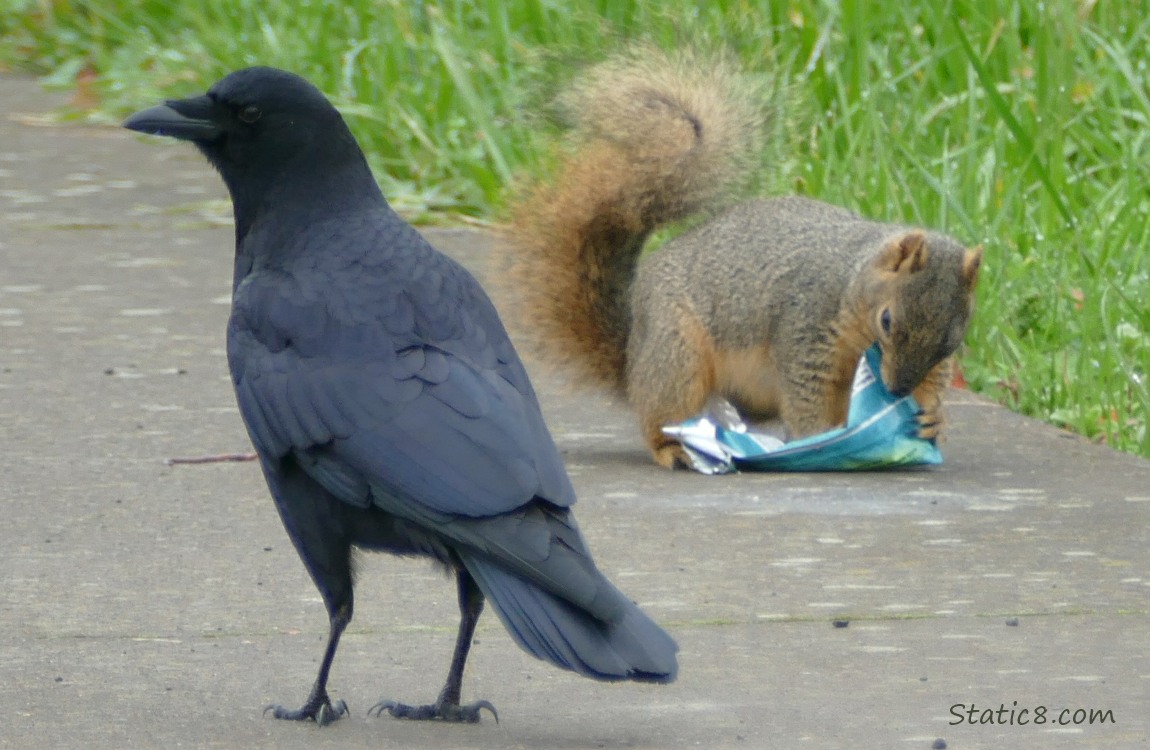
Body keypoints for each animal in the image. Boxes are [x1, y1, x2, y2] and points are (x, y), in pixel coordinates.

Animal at [499, 49, 984, 469]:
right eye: (887, 320)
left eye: (952, 341)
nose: (897, 388)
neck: (851, 278)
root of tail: (633, 359)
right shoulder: (807, 328)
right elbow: (808, 393)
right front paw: (822, 436)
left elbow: (932, 381)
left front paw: (929, 416)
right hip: (678, 354)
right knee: (661, 413)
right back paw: (673, 447)